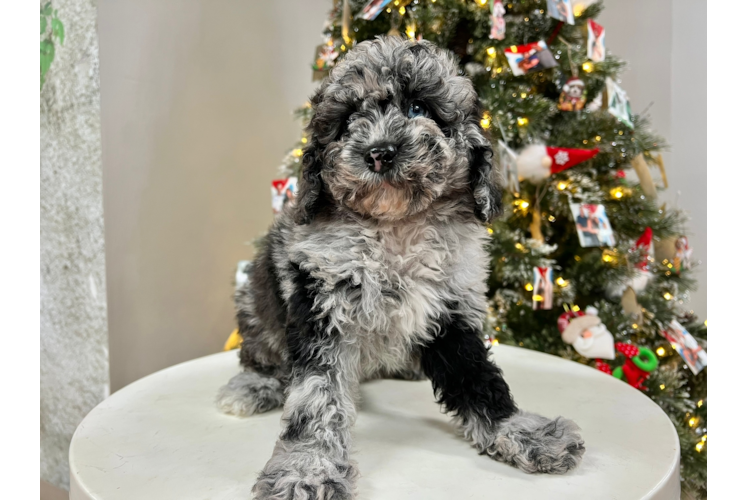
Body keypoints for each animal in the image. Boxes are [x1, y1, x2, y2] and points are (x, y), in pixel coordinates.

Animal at [216, 37, 584, 498]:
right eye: (348, 121)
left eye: (418, 108)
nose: (378, 153)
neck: (395, 226)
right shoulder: (321, 304)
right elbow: (316, 397)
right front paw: (306, 469)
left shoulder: (450, 308)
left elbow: (478, 377)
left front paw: (521, 432)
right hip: (254, 299)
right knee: (261, 351)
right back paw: (254, 385)